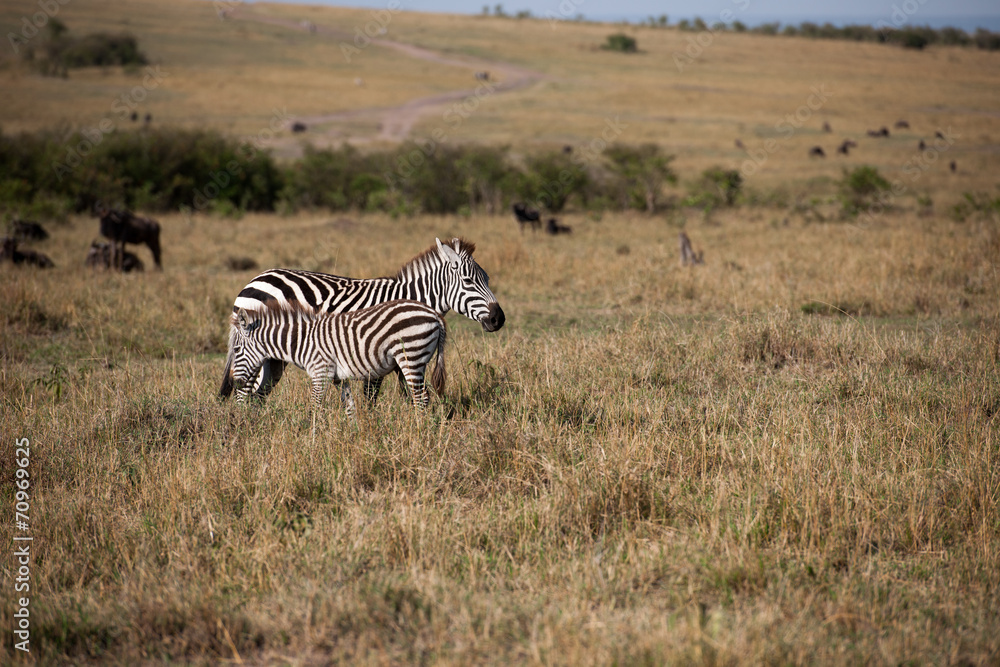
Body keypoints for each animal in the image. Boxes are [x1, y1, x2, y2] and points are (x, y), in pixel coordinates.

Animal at [220, 237, 504, 403]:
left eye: (488, 278)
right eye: (468, 281)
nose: (498, 319)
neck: (409, 297)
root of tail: (254, 280)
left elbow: (407, 396)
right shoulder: (373, 354)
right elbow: (371, 398)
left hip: (272, 357)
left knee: (257, 395)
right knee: (244, 394)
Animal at [228, 300, 446, 415]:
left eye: (237, 350)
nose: (235, 384)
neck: (303, 341)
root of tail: (434, 313)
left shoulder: (321, 373)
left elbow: (315, 408)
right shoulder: (339, 379)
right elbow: (350, 408)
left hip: (411, 356)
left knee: (421, 398)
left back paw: (417, 432)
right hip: (417, 361)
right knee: (424, 396)